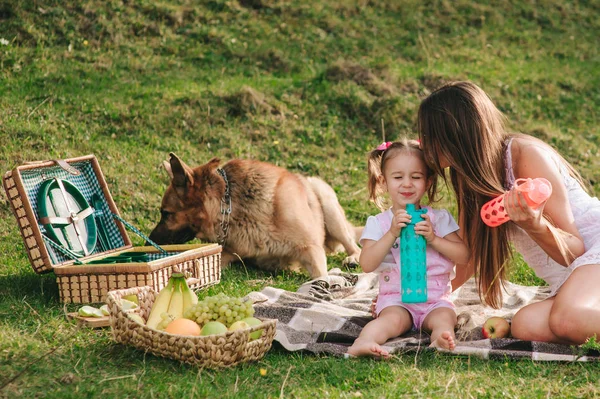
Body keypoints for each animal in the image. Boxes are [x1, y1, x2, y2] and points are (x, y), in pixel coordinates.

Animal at [148, 155, 364, 280]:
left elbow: (321, 276)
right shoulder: (230, 253)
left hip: (328, 205)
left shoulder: (311, 248)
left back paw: (353, 257)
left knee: (354, 245)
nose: (148, 242)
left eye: (166, 213)